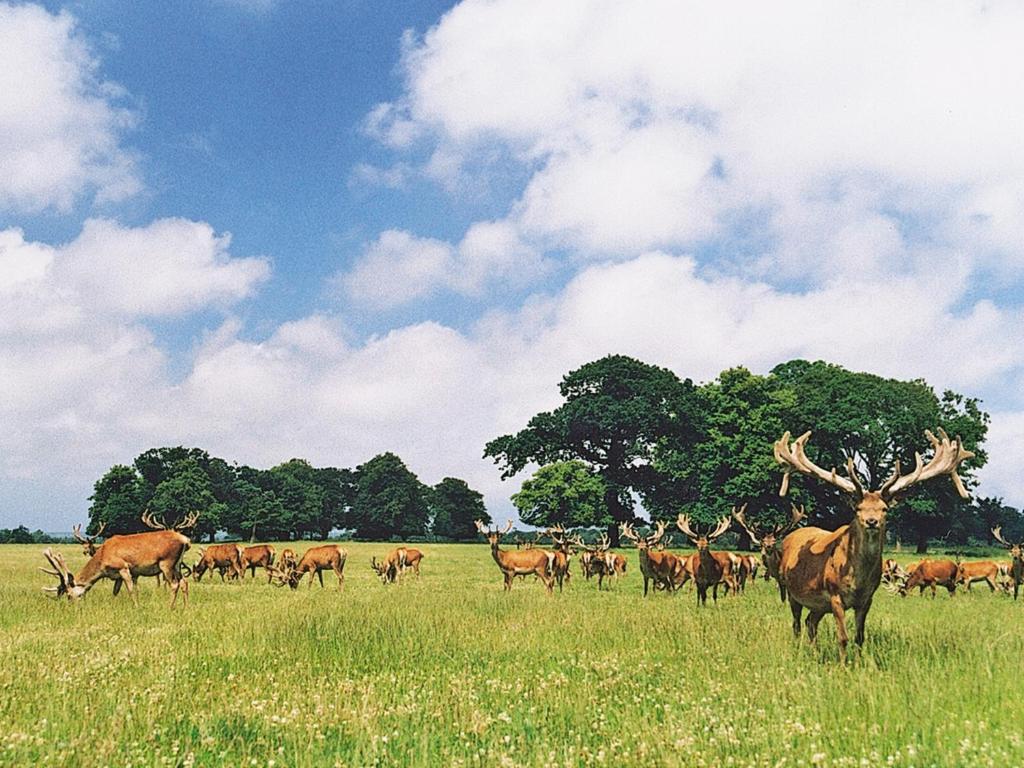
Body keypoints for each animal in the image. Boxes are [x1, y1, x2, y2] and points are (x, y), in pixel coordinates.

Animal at [40, 516, 195, 608]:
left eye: (69, 595)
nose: (71, 606)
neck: (102, 557)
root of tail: (185, 540)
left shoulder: (123, 567)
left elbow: (131, 589)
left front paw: (136, 606)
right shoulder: (116, 576)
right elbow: (115, 591)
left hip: (167, 563)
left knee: (174, 584)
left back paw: (170, 607)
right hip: (177, 565)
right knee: (184, 582)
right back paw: (186, 607)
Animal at [775, 427, 973, 661]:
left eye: (884, 509)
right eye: (858, 508)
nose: (871, 521)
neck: (857, 580)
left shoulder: (866, 599)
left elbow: (860, 637)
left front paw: (860, 662)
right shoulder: (834, 595)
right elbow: (843, 638)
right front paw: (843, 665)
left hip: (819, 605)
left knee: (810, 622)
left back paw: (814, 651)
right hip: (792, 590)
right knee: (797, 623)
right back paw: (799, 650)